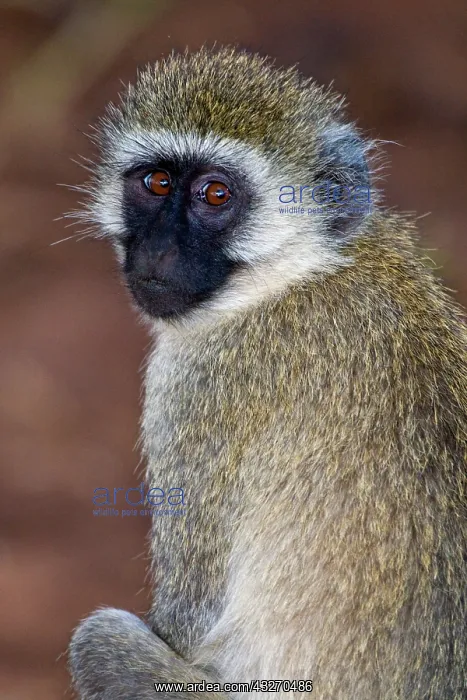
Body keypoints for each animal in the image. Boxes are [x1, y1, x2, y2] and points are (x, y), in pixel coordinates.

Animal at [68, 47, 467, 700]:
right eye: (156, 183)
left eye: (215, 195)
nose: (158, 252)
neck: (297, 272)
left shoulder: (201, 385)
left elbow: (188, 618)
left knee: (97, 640)